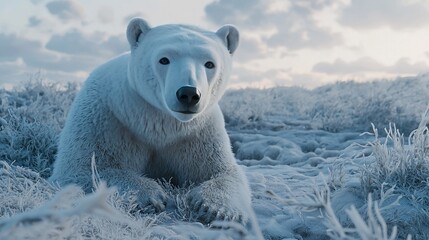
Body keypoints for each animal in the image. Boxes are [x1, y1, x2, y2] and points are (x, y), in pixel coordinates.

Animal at [50, 17, 258, 228]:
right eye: (164, 59)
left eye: (210, 64)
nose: (189, 94)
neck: (158, 123)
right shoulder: (105, 119)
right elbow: (83, 169)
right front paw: (149, 195)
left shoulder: (199, 131)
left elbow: (223, 172)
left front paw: (215, 209)